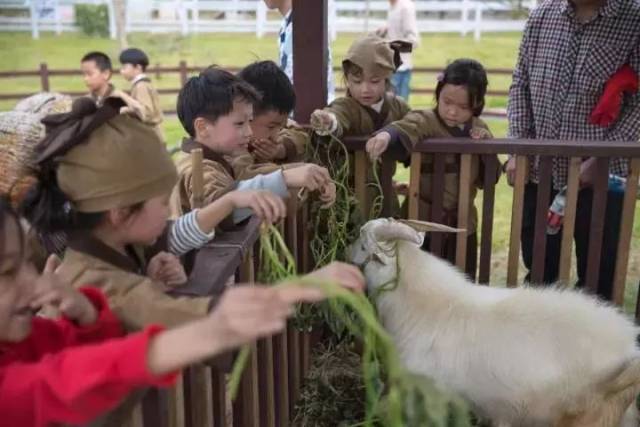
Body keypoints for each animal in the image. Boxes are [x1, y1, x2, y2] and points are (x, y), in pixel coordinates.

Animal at [350, 219, 640, 426]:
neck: (427, 306)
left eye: (363, 244)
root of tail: (630, 347)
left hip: (590, 414)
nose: (345, 250)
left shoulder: (428, 388)